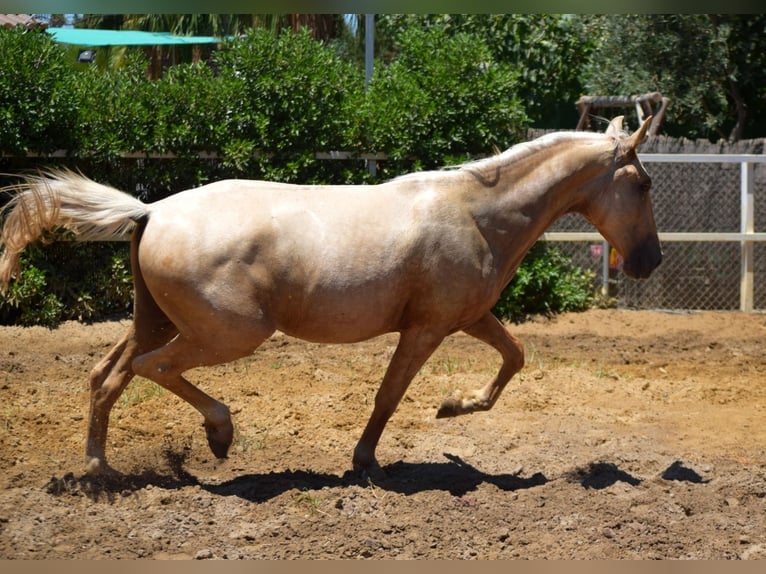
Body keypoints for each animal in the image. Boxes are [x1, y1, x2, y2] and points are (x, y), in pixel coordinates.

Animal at [0, 115, 661, 476]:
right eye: (645, 183)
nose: (650, 262)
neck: (476, 214)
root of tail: (151, 211)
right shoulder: (425, 329)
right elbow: (388, 396)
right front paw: (365, 460)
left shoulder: (467, 317)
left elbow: (515, 357)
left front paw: (454, 406)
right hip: (228, 333)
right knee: (148, 369)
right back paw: (219, 434)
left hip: (157, 320)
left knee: (105, 375)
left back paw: (100, 469)